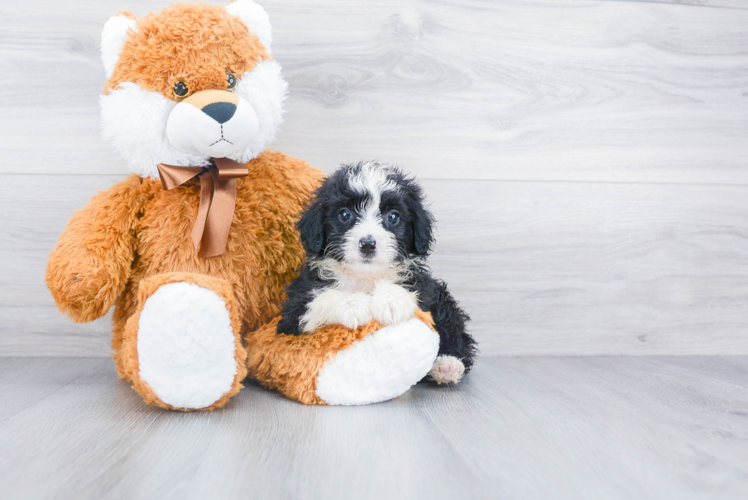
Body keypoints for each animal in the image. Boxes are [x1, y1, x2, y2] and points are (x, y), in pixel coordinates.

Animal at [278, 160, 476, 382]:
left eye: (393, 217)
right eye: (345, 214)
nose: (367, 244)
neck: (365, 276)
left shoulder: (425, 289)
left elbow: (411, 290)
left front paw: (391, 301)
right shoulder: (293, 312)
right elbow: (320, 298)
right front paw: (354, 305)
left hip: (442, 300)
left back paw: (447, 364)